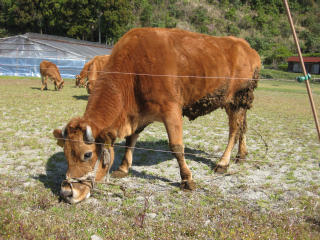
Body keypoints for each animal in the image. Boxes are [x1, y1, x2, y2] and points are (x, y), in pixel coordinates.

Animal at [53, 28, 262, 204]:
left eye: (87, 154)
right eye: (66, 153)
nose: (67, 192)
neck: (134, 70)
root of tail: (248, 48)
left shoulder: (172, 110)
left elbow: (176, 147)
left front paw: (187, 179)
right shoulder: (138, 114)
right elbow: (130, 140)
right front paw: (123, 168)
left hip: (237, 99)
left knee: (234, 129)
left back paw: (223, 163)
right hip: (237, 102)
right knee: (243, 126)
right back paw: (241, 155)